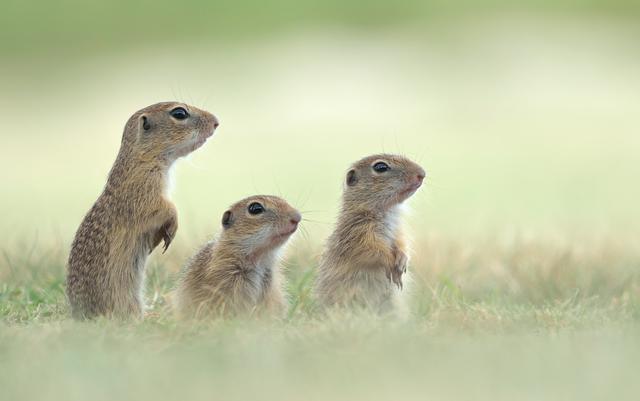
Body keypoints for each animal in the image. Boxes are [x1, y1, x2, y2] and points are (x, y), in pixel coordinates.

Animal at [66, 102, 219, 319]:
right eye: (179, 113)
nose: (216, 122)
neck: (143, 158)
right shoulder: (144, 190)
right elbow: (164, 208)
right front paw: (172, 227)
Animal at [314, 154, 425, 314]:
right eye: (380, 167)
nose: (422, 174)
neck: (387, 211)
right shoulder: (358, 233)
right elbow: (373, 251)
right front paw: (391, 263)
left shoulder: (398, 231)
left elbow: (402, 244)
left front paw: (403, 259)